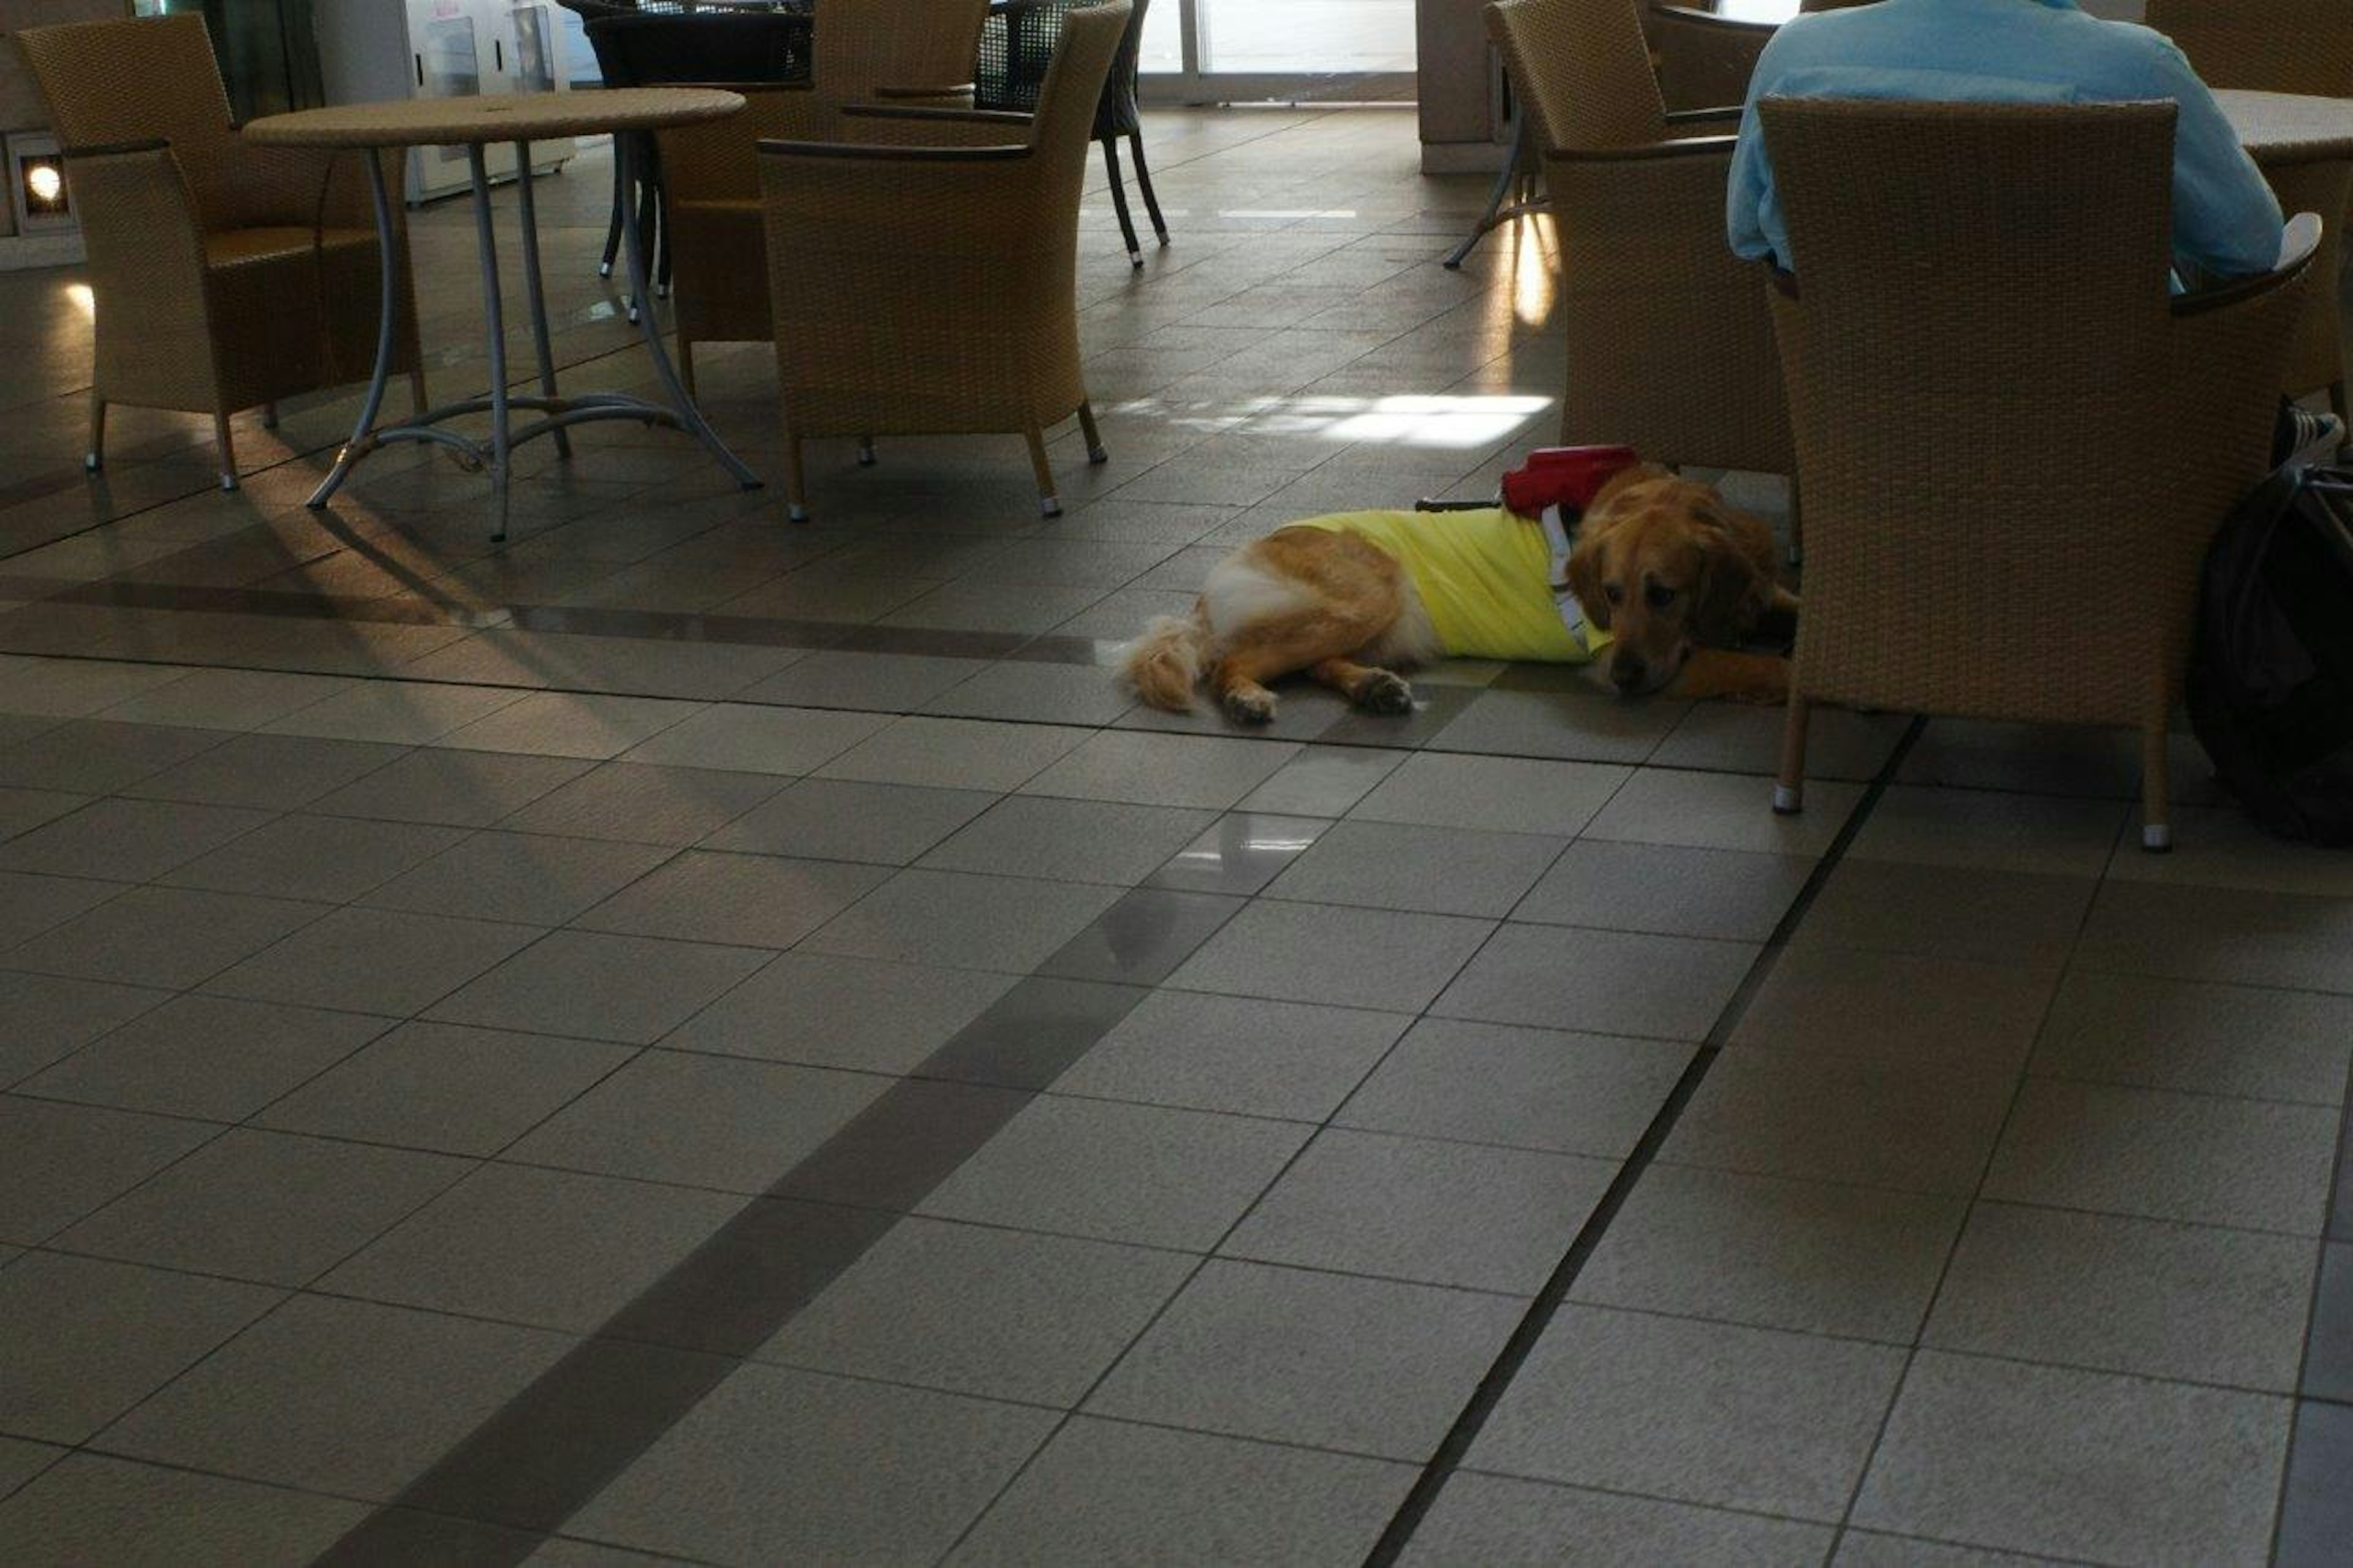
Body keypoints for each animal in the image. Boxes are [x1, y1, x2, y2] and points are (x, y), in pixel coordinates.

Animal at [1129, 461, 1788, 725]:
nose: (1628, 680)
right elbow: (1762, 666)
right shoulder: (1632, 661)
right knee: (1231, 662)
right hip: (1371, 592)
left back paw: (1376, 688)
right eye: (1611, 594)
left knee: (1313, 663)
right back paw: (1247, 700)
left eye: (1664, 594)